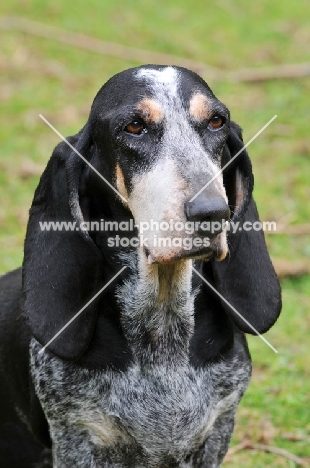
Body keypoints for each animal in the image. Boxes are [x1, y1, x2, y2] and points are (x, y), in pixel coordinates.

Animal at [0, 64, 280, 466]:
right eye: (134, 127)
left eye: (216, 121)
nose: (213, 213)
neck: (162, 326)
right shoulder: (77, 437)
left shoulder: (217, 429)